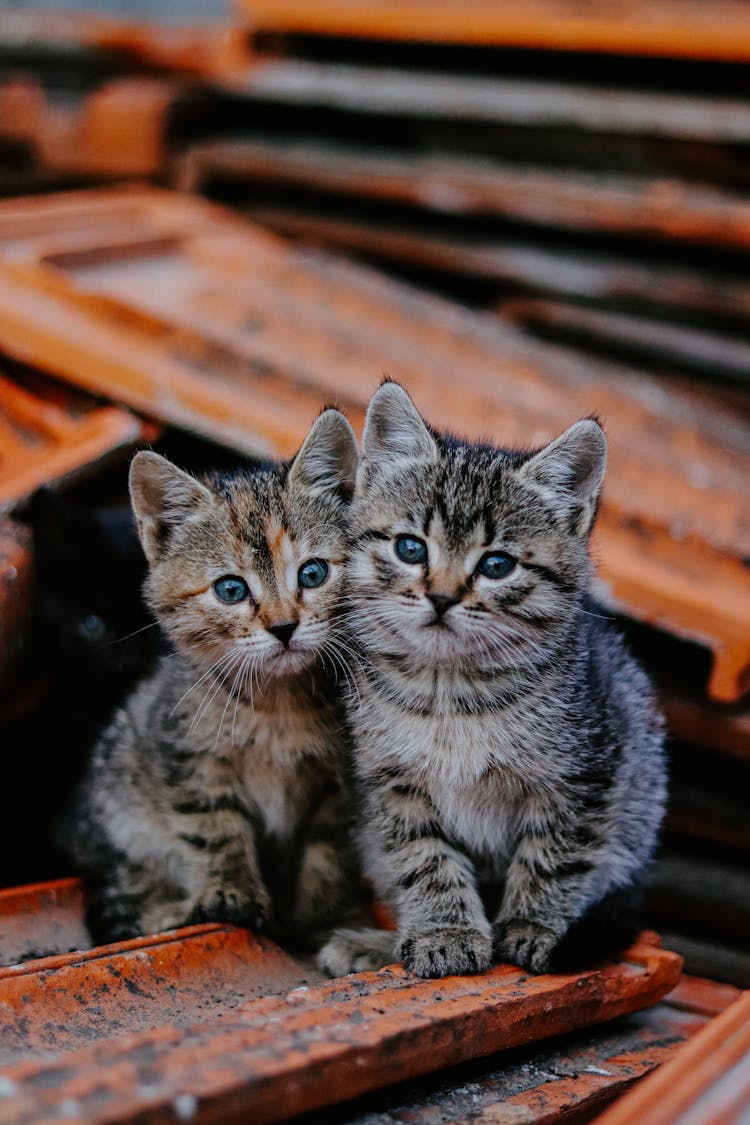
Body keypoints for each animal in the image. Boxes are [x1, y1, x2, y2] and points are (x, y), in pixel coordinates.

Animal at [66, 409, 364, 945]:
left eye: (312, 574)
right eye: (230, 590)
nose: (284, 627)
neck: (278, 706)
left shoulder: (339, 781)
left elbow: (327, 850)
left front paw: (322, 918)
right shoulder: (187, 756)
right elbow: (217, 829)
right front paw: (231, 894)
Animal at [319, 384, 665, 976]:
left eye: (497, 565)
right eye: (410, 548)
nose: (441, 597)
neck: (449, 690)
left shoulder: (585, 776)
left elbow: (554, 858)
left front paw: (533, 926)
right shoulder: (392, 784)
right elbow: (422, 859)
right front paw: (444, 932)